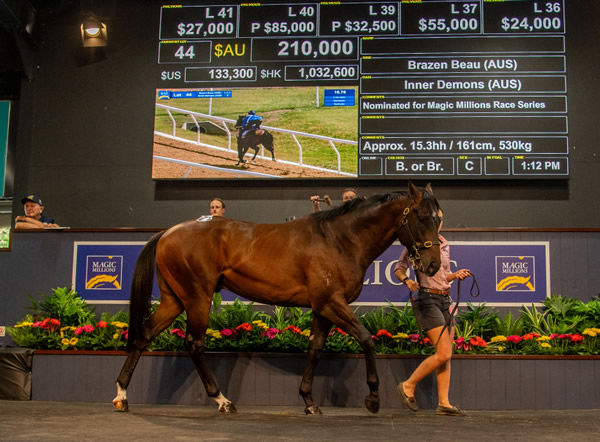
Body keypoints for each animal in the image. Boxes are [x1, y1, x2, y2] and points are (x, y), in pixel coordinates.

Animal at [112, 182, 440, 414]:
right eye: (422, 217)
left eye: (439, 219)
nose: (433, 265)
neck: (338, 240)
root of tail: (168, 232)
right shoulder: (332, 303)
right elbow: (366, 338)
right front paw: (372, 398)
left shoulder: (321, 308)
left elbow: (315, 348)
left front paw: (309, 401)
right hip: (197, 298)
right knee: (194, 344)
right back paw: (222, 401)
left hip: (175, 300)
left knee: (144, 334)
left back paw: (121, 395)